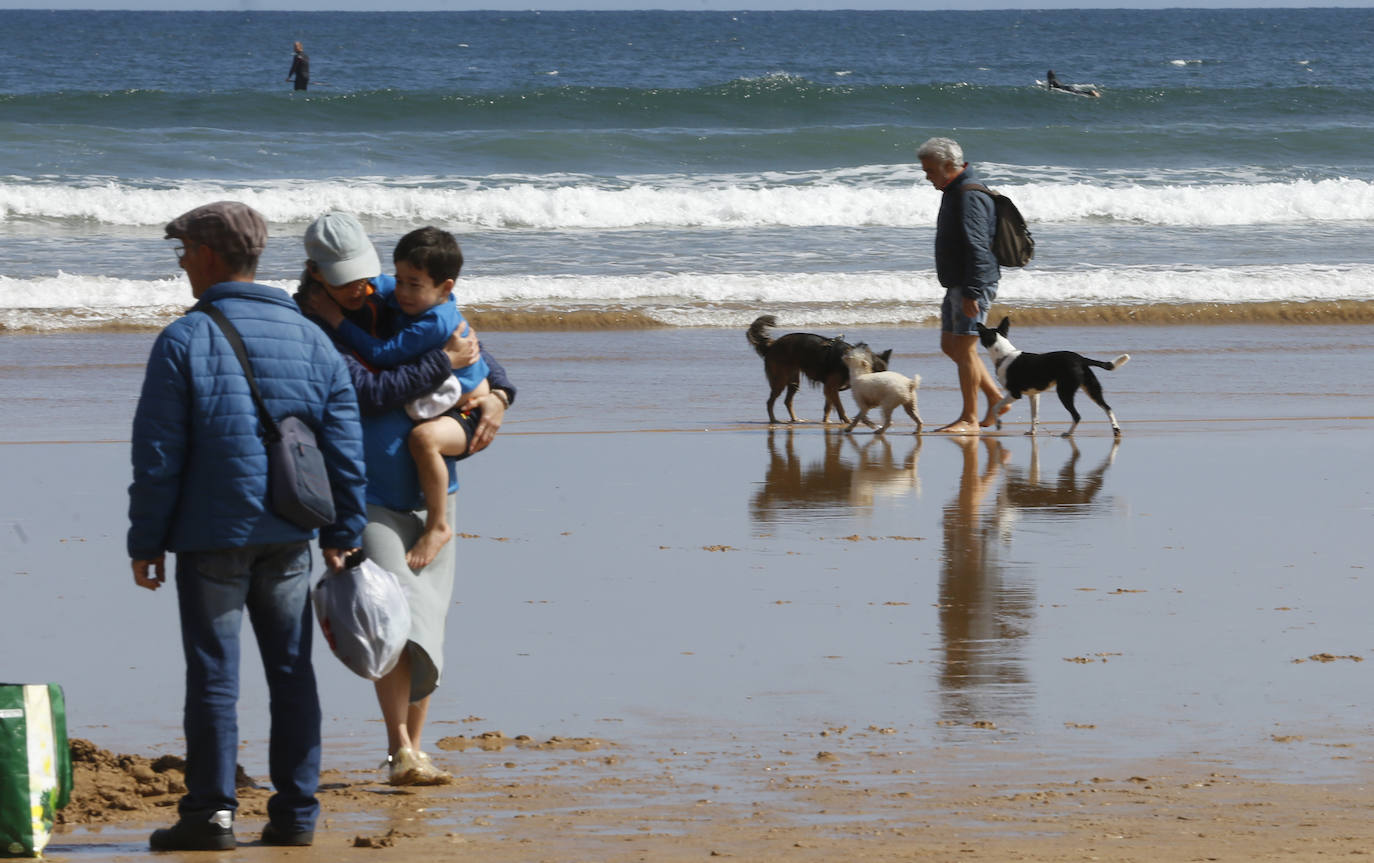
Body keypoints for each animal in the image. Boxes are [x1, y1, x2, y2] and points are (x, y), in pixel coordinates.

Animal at [747, 317, 895, 426]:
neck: (853, 362)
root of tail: (772, 345)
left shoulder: (829, 388)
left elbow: (828, 407)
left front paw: (826, 422)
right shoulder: (831, 387)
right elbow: (840, 407)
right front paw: (847, 421)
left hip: (794, 381)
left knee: (787, 401)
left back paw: (794, 419)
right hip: (780, 380)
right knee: (770, 402)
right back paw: (774, 420)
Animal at [983, 318, 1132, 436]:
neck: (1005, 355)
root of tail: (1080, 359)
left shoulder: (1015, 393)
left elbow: (996, 407)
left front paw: (998, 423)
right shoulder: (1034, 395)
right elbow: (1034, 416)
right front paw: (1032, 432)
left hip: (1064, 392)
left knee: (1077, 415)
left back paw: (1068, 433)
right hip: (1092, 388)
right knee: (1107, 407)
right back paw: (1116, 429)